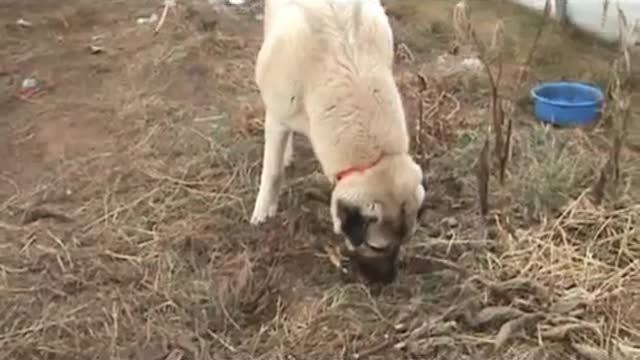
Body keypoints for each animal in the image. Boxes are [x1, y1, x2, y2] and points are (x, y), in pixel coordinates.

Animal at [248, 0, 428, 282]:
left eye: (405, 241)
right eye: (376, 247)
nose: (389, 281)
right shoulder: (278, 117)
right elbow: (273, 172)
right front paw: (264, 209)